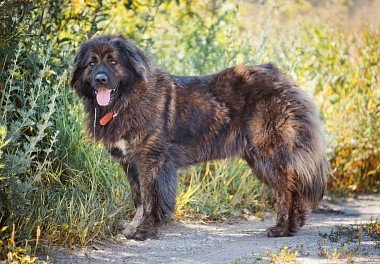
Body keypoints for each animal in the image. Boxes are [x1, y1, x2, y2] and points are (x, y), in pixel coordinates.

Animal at [70, 35, 326, 241]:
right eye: (92, 63)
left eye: (113, 62)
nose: (100, 79)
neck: (126, 100)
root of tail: (281, 77)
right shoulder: (130, 163)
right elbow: (139, 199)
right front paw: (133, 228)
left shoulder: (151, 161)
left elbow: (150, 200)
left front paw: (144, 231)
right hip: (259, 158)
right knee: (293, 188)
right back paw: (293, 226)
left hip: (268, 154)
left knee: (286, 190)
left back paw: (281, 228)